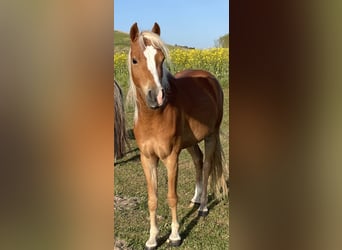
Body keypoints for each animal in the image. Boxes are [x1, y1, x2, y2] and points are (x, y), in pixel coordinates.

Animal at [126, 22, 227, 249]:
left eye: (161, 59)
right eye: (135, 59)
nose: (156, 96)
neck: (153, 118)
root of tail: (210, 78)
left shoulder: (171, 157)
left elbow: (172, 197)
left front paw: (174, 236)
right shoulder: (147, 159)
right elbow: (152, 199)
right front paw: (152, 238)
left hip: (211, 135)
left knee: (207, 166)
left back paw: (203, 207)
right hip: (190, 142)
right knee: (198, 161)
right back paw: (196, 199)